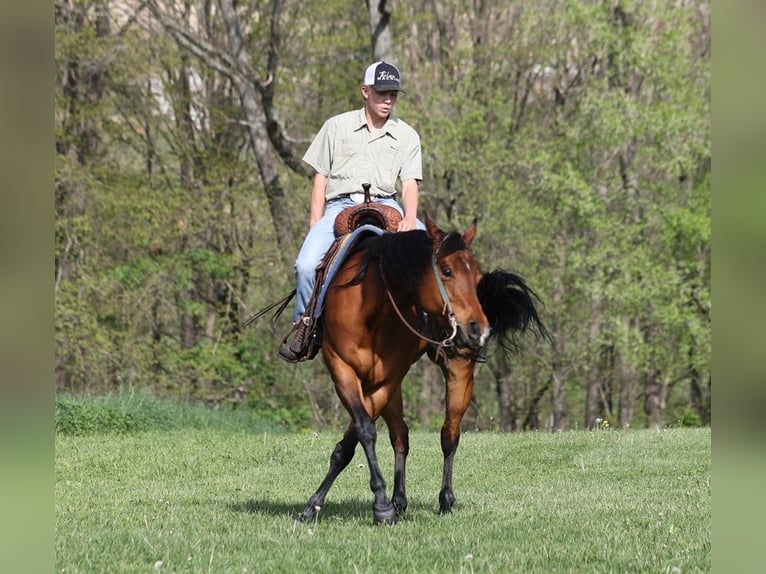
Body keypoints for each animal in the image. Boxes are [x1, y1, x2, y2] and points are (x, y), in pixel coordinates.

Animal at [292, 219, 548, 528]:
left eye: (477, 277)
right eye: (447, 271)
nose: (479, 328)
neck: (371, 311)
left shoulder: (385, 381)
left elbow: (357, 435)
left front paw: (380, 507)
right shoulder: (342, 368)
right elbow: (362, 433)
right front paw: (317, 506)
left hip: (457, 373)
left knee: (449, 434)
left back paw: (444, 500)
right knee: (400, 435)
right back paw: (399, 500)